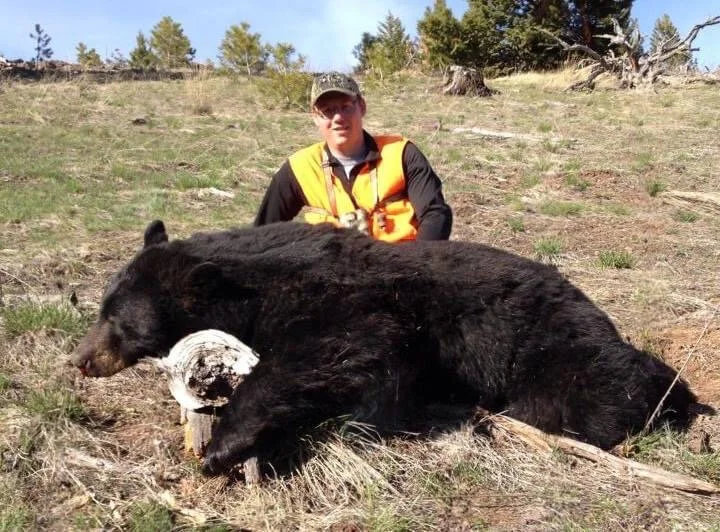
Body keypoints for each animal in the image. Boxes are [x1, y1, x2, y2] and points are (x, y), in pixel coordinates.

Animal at [71, 220, 696, 475]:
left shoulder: (353, 300)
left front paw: (223, 445)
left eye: (117, 320)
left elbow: (342, 349)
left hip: (547, 341)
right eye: (103, 307)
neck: (254, 282)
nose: (80, 359)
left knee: (597, 389)